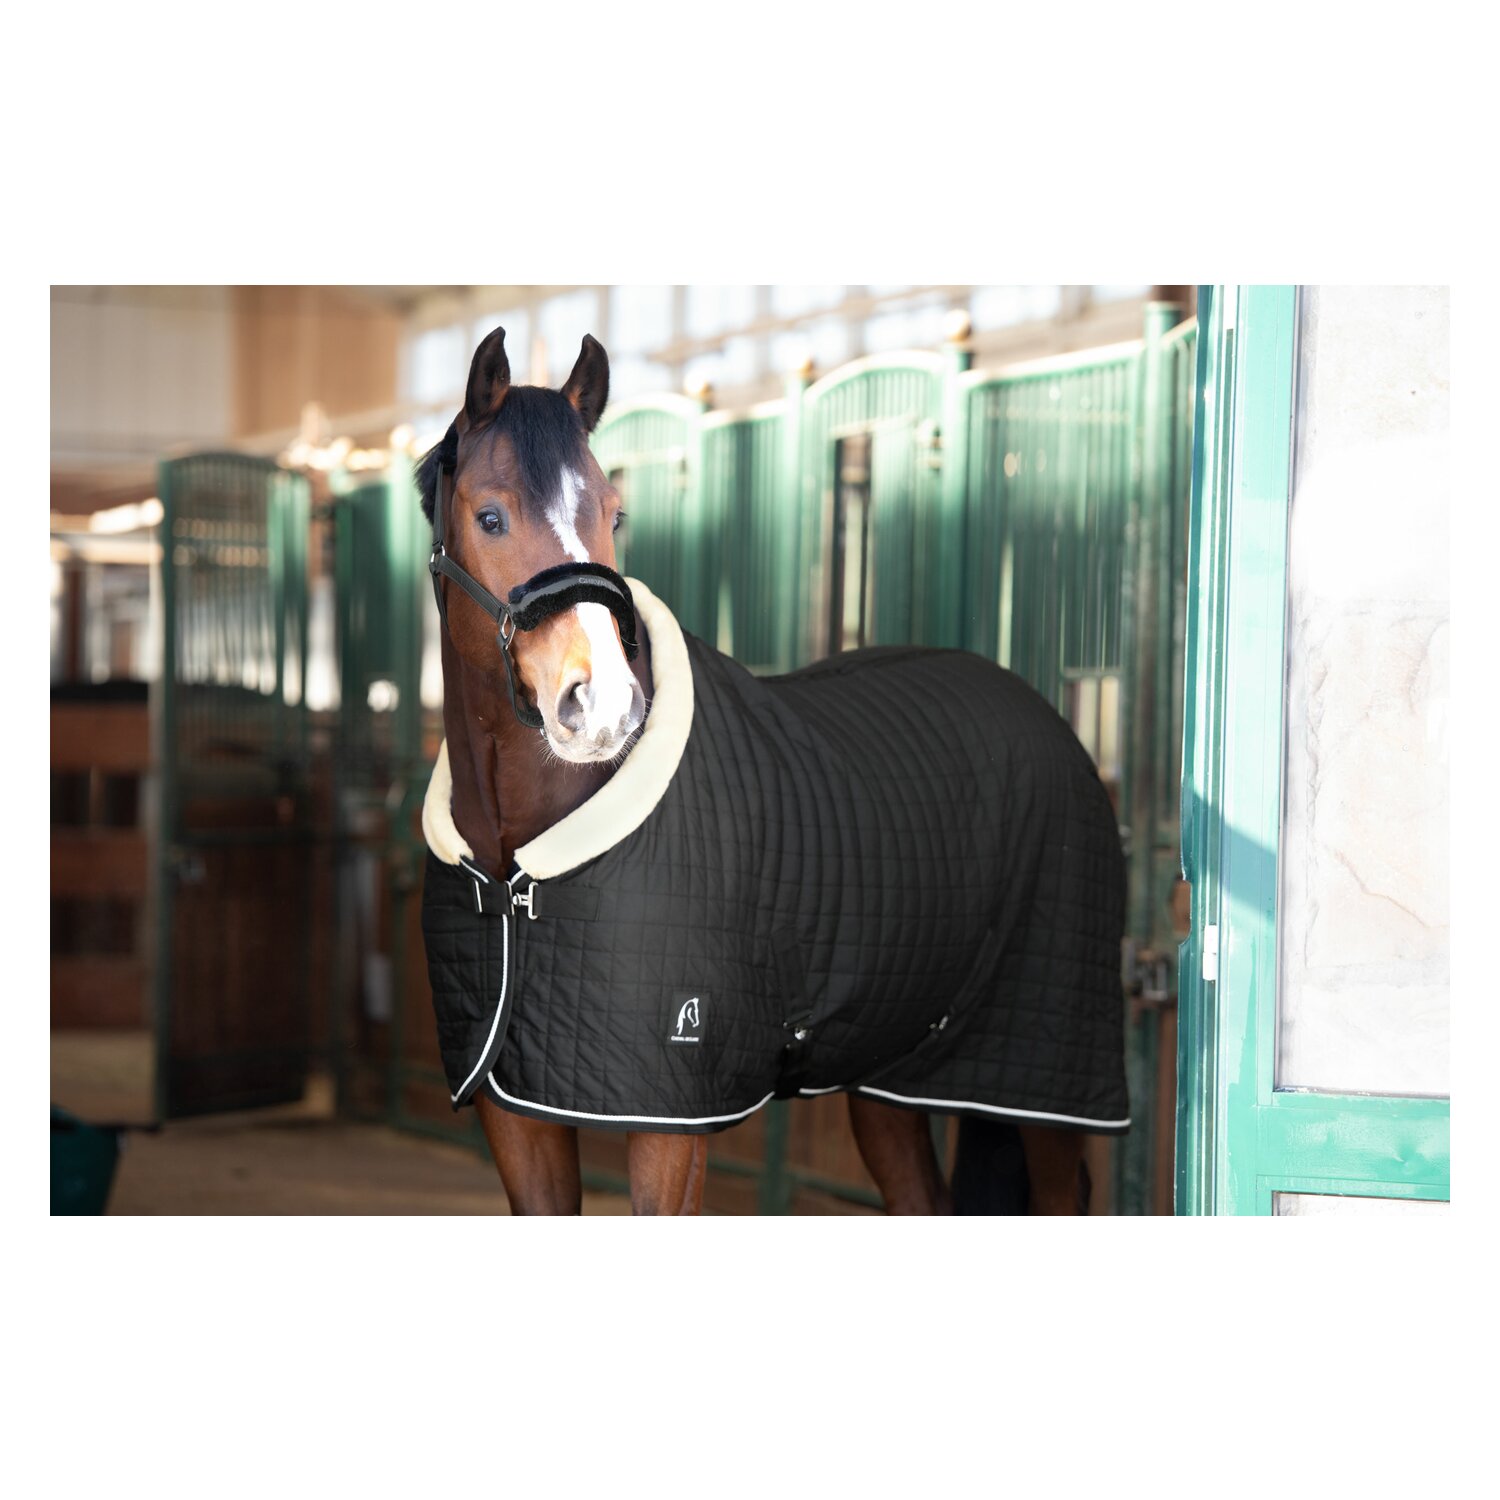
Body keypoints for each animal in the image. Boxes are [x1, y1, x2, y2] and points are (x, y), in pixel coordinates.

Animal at [415, 325, 1128, 1215]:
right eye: (490, 516)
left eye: (614, 512)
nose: (603, 704)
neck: (522, 877)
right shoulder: (513, 1114)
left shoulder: (672, 1121)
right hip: (888, 1076)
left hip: (1043, 1083)